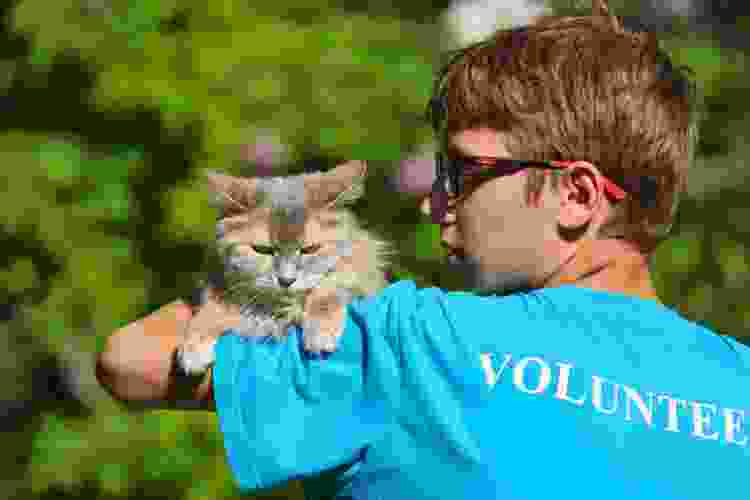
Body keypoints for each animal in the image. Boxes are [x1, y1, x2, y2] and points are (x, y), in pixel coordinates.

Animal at [177, 160, 396, 376]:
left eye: (310, 249)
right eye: (262, 250)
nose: (286, 281)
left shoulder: (359, 273)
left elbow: (329, 289)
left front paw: (320, 329)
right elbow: (213, 309)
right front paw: (193, 343)